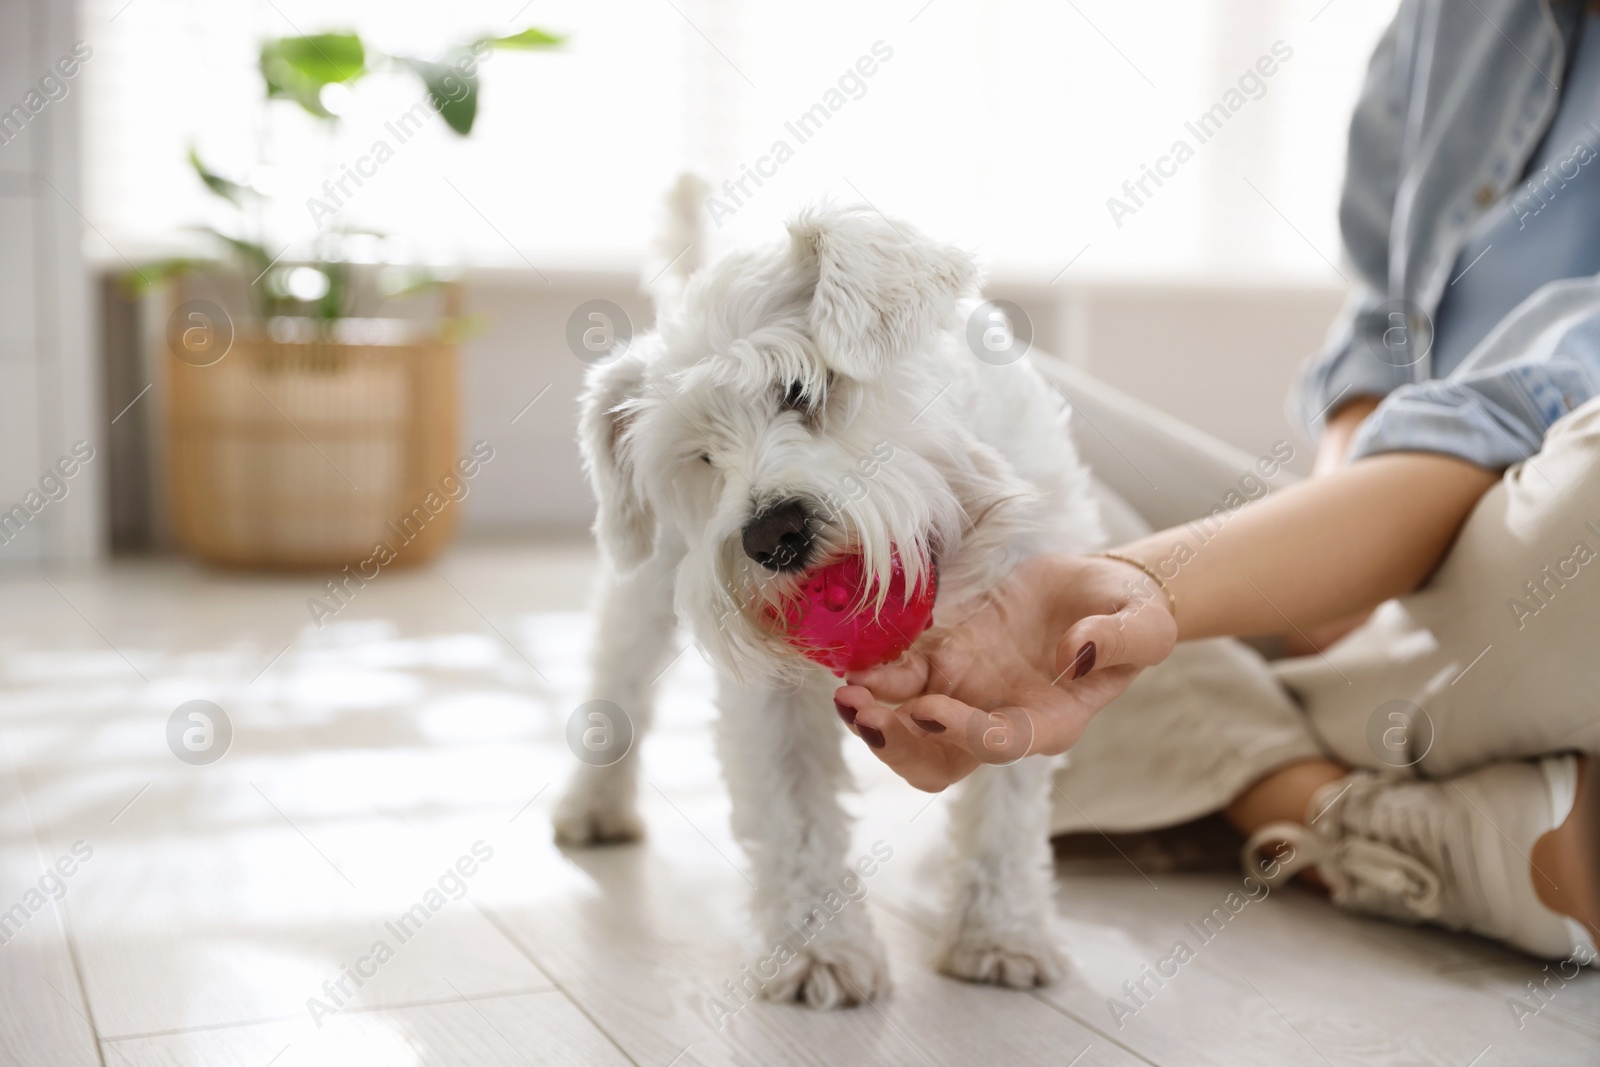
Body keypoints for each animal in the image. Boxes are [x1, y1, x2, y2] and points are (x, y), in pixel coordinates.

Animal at [556, 202, 1107, 1011]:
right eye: (702, 457)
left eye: (801, 387)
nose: (771, 534)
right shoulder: (774, 700)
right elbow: (797, 818)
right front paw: (819, 953)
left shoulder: (1024, 657)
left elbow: (1004, 815)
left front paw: (1000, 935)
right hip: (641, 587)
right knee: (616, 686)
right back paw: (593, 805)